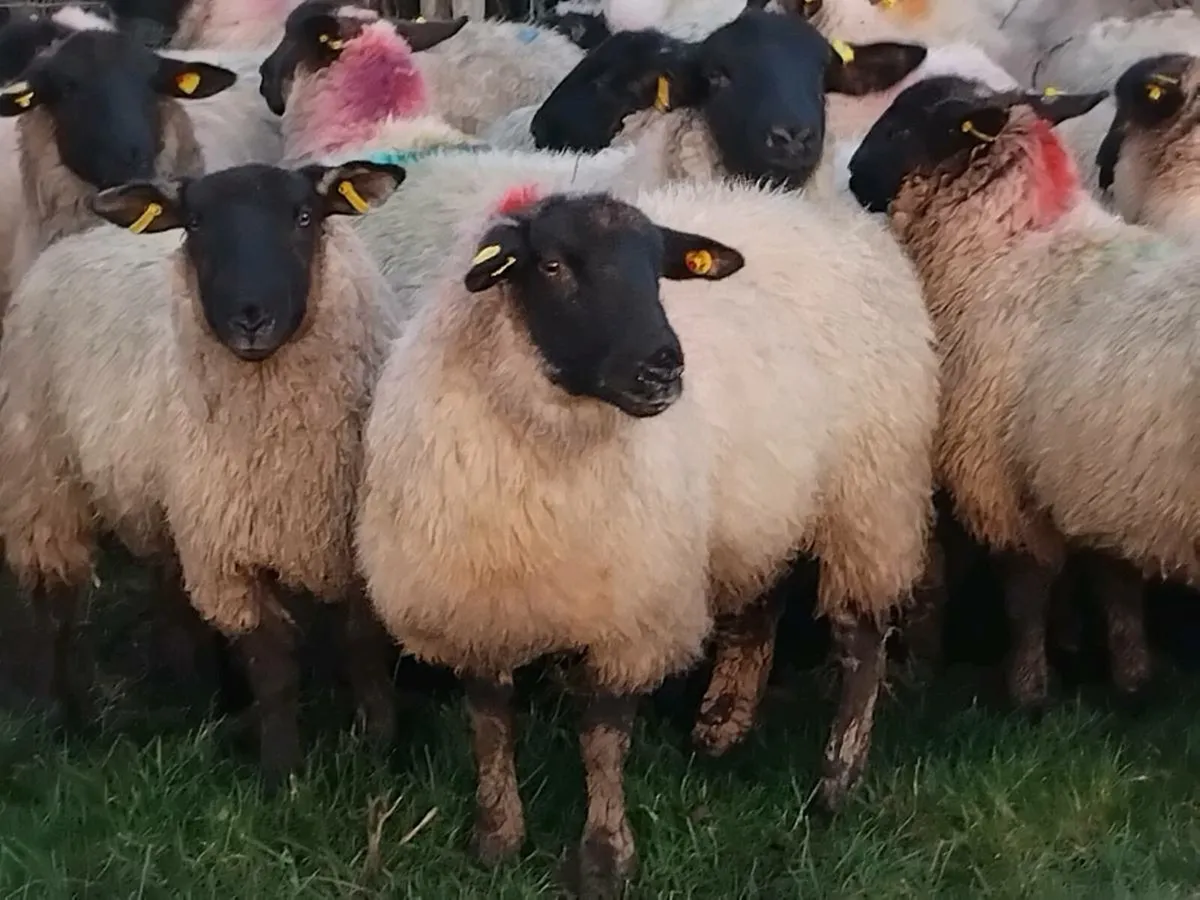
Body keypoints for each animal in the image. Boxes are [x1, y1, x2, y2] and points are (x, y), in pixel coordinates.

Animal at [0, 160, 406, 781]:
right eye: (193, 223)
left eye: (304, 215)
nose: (250, 317)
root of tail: (73, 242)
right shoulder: (228, 551)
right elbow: (273, 665)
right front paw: (283, 772)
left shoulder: (351, 538)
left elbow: (361, 644)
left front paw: (380, 744)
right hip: (44, 480)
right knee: (56, 604)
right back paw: (63, 712)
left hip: (163, 503)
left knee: (167, 586)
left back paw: (195, 688)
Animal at [355, 182, 937, 893]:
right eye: (553, 265)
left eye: (658, 268)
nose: (663, 367)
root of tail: (836, 215)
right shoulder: (475, 604)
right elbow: (489, 723)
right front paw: (497, 837)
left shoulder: (629, 611)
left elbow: (602, 738)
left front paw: (605, 858)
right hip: (763, 499)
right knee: (762, 596)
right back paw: (723, 722)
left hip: (870, 498)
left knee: (861, 641)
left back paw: (837, 779)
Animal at [844, 73, 1200, 712]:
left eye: (906, 123)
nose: (855, 175)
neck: (1004, 249)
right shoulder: (1100, 482)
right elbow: (1118, 583)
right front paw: (1133, 679)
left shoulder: (1002, 477)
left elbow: (1025, 591)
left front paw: (1028, 692)